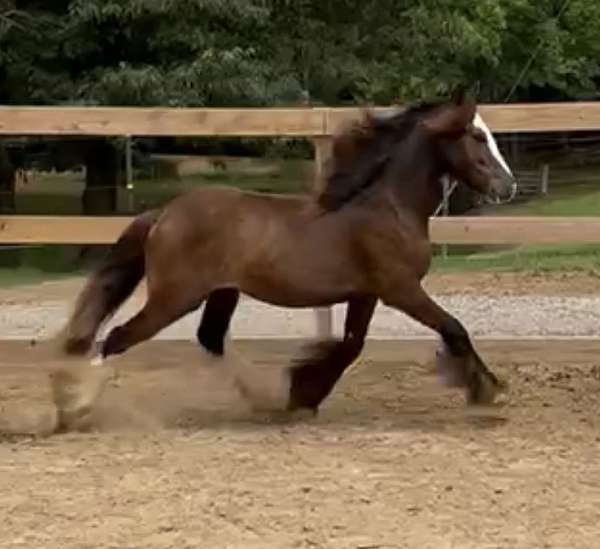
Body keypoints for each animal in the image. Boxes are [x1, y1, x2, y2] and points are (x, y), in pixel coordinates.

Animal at [56, 92, 512, 428]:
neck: (387, 207)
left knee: (209, 338)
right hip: (175, 297)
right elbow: (453, 328)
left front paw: (302, 394)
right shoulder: (400, 289)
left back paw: (264, 398)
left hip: (222, 292)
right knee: (116, 338)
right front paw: (487, 390)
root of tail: (162, 214)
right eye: (476, 135)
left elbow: (350, 346)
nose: (507, 186)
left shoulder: (365, 293)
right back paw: (72, 409)